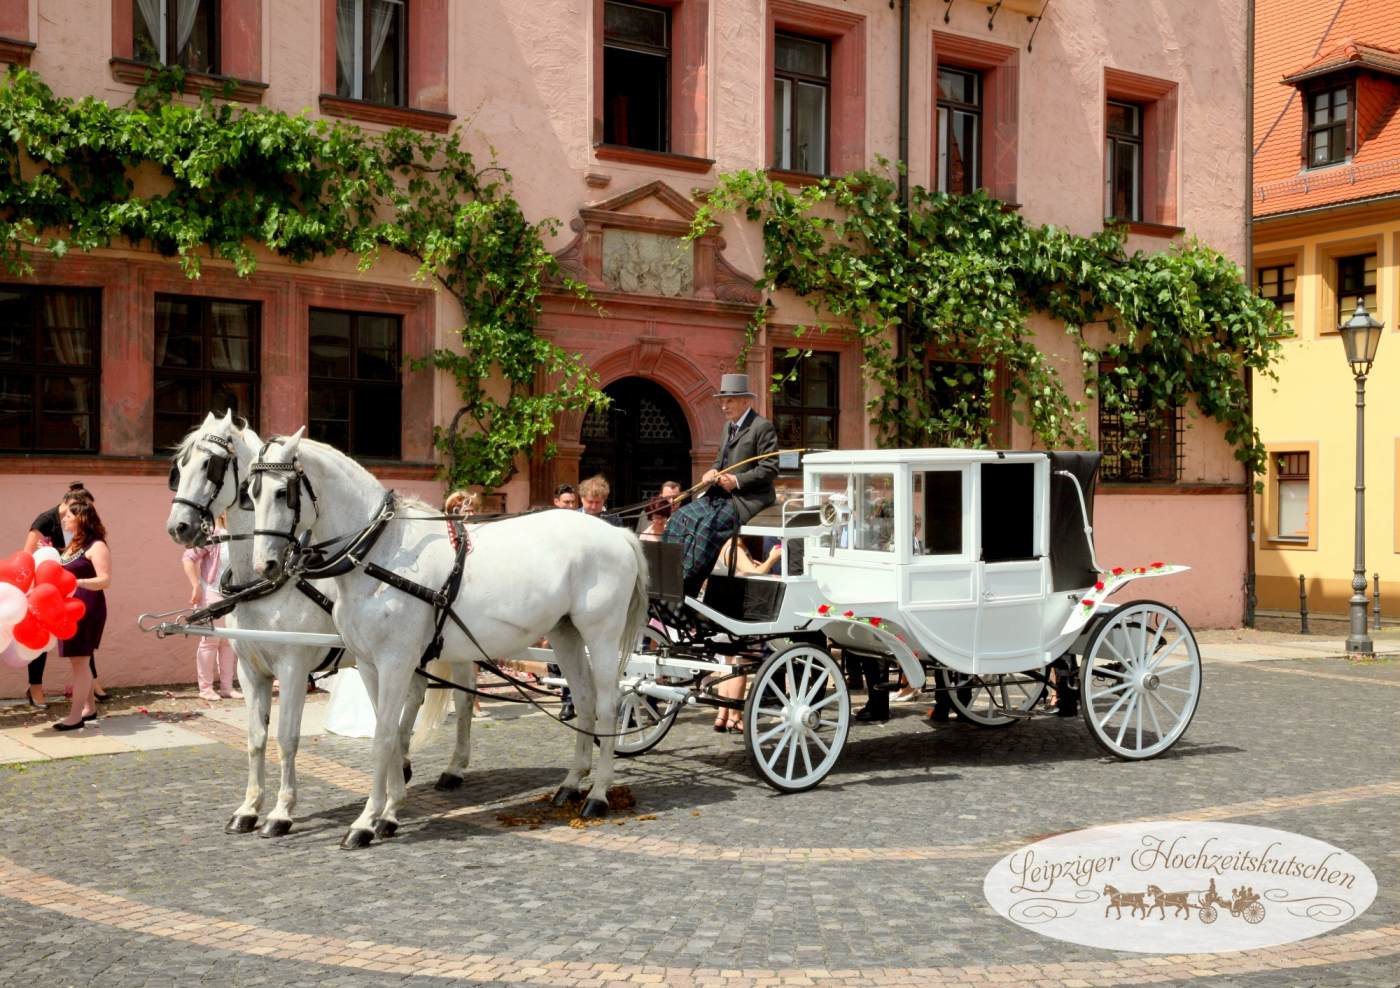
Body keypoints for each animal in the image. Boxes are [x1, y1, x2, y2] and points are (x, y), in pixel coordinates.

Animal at [165, 411, 476, 834]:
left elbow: (287, 738)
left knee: (463, 699)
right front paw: (248, 808)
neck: (266, 582)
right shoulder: (250, 669)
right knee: (411, 696)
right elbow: (256, 739)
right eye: (179, 467)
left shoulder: (293, 667)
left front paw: (281, 812)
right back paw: (403, 762)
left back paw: (454, 768)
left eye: (209, 464)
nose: (178, 527)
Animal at [247, 428, 649, 845]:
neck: (382, 553)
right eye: (250, 493)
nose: (265, 565)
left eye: (283, 492)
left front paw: (365, 822)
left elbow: (384, 738)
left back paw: (599, 795)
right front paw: (389, 813)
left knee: (608, 705)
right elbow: (391, 736)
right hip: (565, 633)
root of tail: (617, 533)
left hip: (601, 635)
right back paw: (571, 785)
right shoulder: (370, 665)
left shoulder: (395, 662)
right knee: (583, 701)